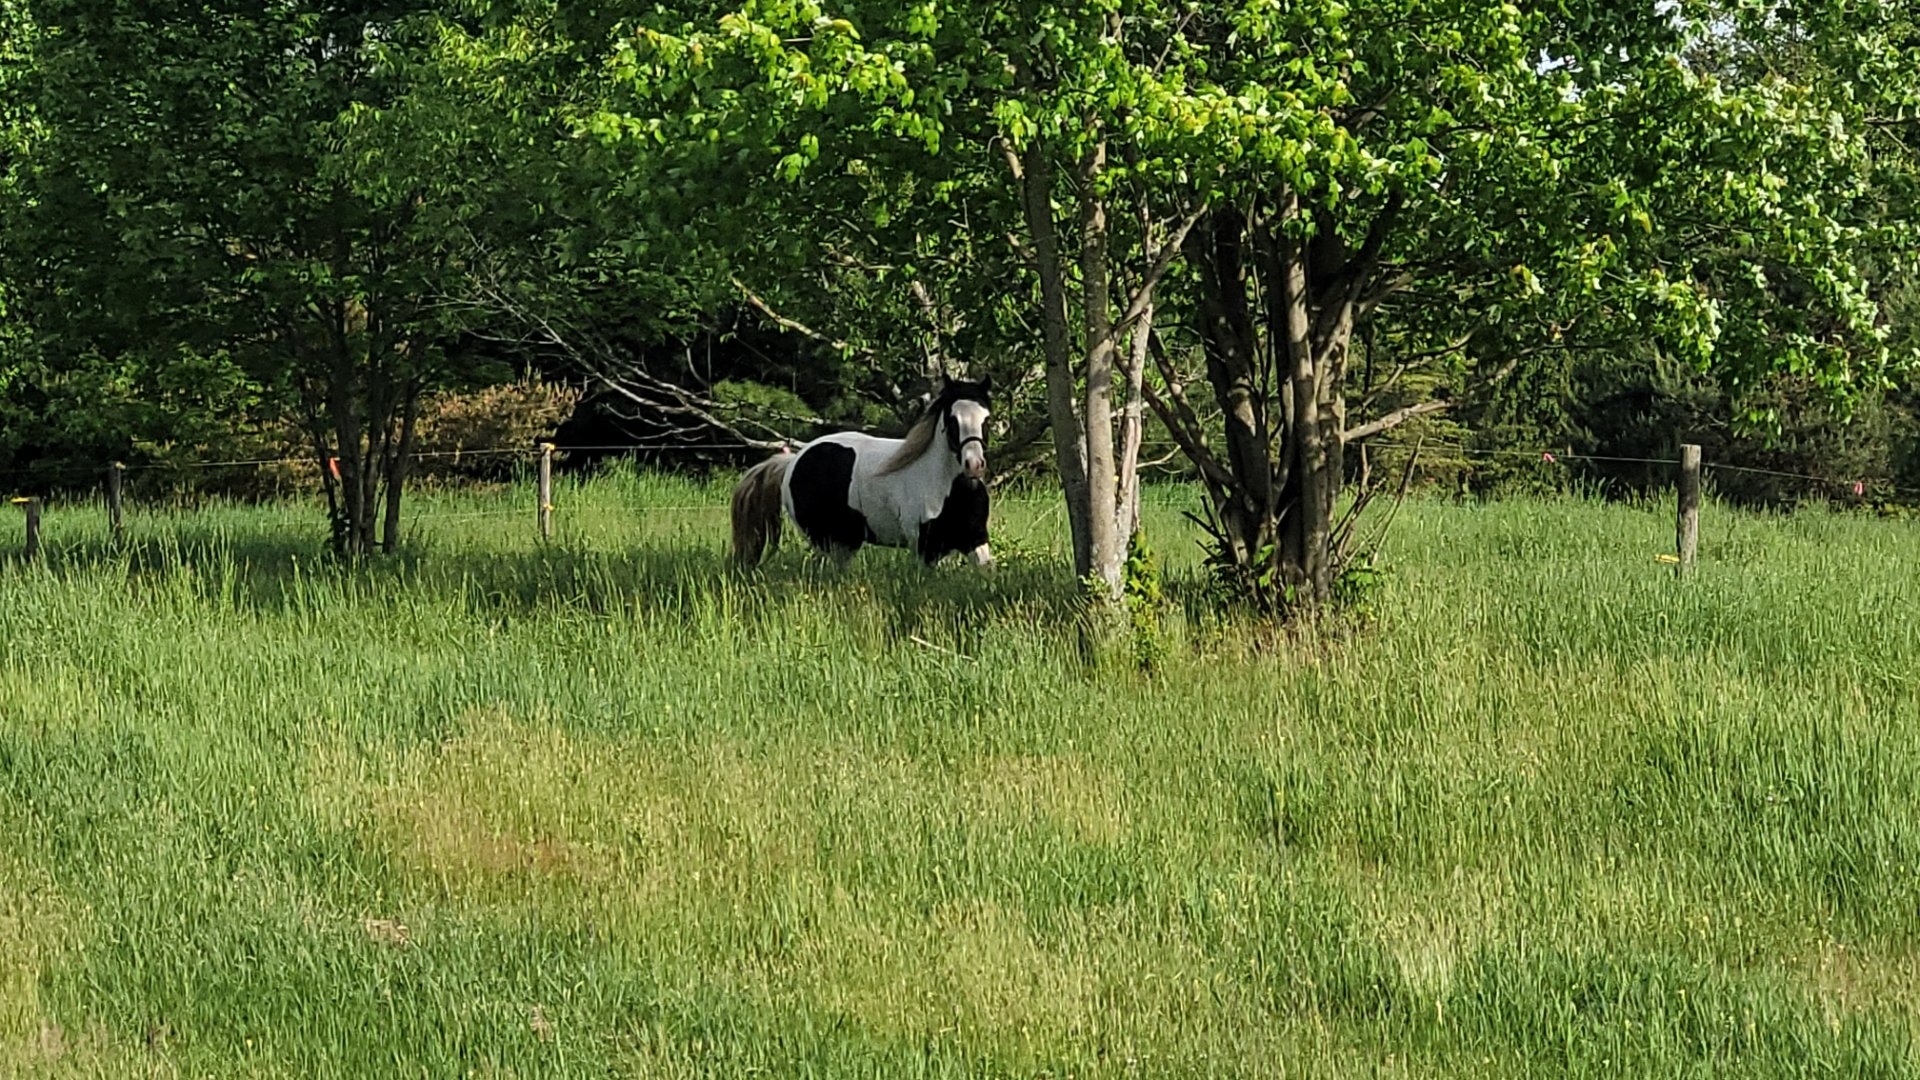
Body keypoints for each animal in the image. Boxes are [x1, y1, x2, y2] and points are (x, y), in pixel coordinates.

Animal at [730, 378, 995, 569]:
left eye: (986, 419)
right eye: (952, 420)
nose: (974, 464)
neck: (949, 489)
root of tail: (792, 461)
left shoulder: (975, 540)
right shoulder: (924, 548)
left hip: (846, 542)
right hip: (826, 540)